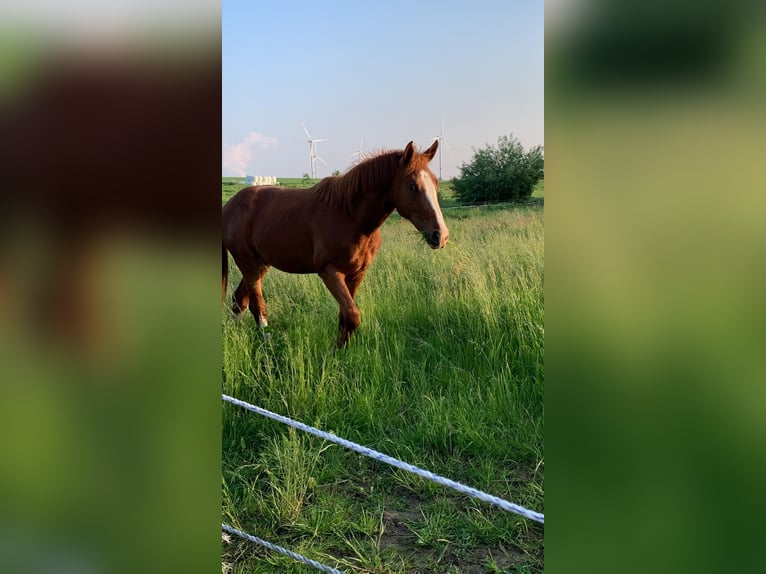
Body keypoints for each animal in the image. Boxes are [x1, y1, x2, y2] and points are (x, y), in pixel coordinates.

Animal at [222, 141, 450, 346]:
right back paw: (266, 342)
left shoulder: (357, 273)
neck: (350, 216)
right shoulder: (329, 271)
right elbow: (352, 315)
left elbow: (345, 316)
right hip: (248, 263)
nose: (440, 235)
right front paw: (334, 353)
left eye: (435, 183)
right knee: (256, 306)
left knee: (239, 300)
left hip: (261, 263)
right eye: (412, 186)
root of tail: (229, 206)